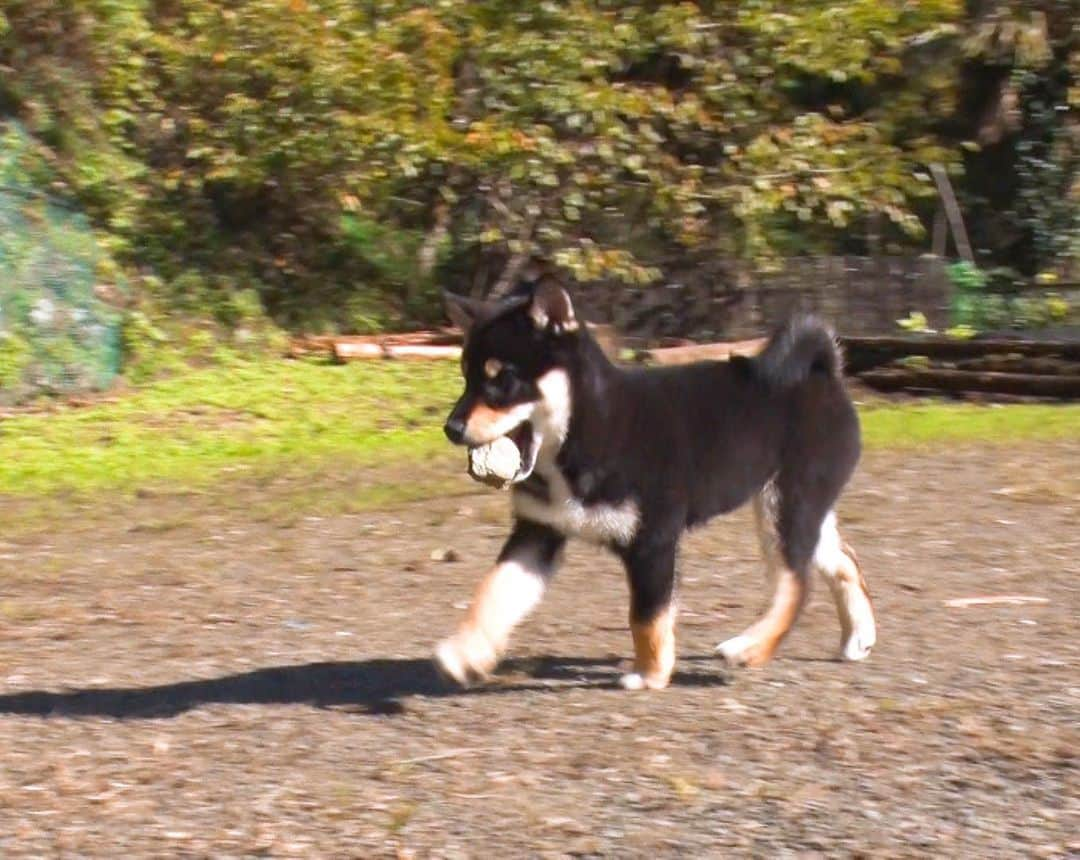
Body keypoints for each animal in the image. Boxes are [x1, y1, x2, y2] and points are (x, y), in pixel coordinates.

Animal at [434, 275, 872, 691]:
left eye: (503, 378)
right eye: (466, 377)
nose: (451, 429)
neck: (591, 430)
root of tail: (823, 373)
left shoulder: (652, 540)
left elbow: (646, 617)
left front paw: (650, 674)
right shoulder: (539, 529)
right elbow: (494, 591)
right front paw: (466, 651)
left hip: (785, 503)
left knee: (796, 584)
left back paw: (750, 647)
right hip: (801, 505)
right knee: (844, 560)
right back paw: (859, 637)